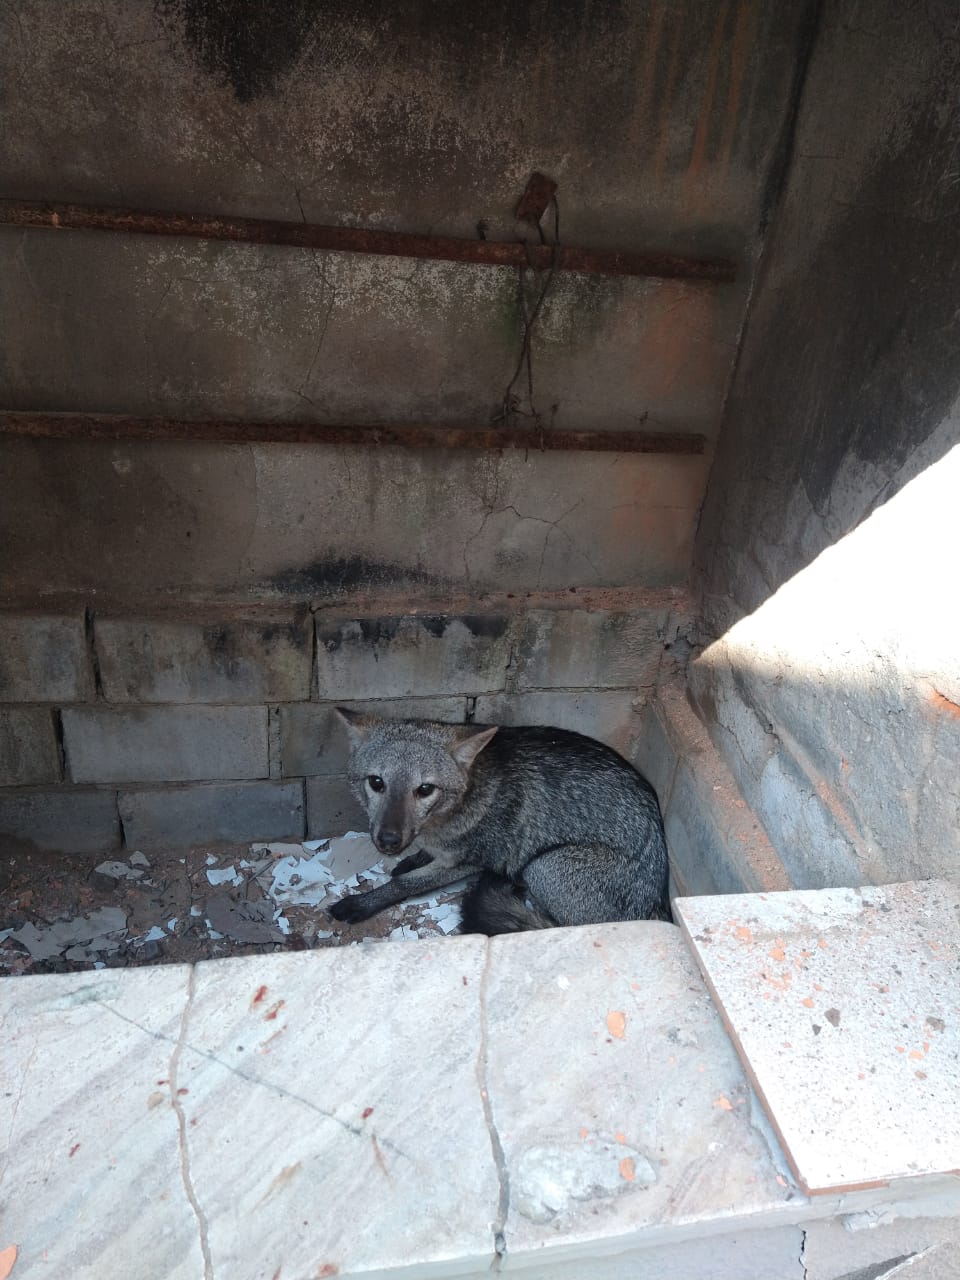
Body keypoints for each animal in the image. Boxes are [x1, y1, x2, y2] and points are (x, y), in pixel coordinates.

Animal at [330, 711, 670, 931]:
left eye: (424, 789)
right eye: (377, 783)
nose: (388, 841)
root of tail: (656, 906)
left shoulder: (474, 861)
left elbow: (406, 884)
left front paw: (363, 903)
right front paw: (414, 859)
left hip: (544, 865)